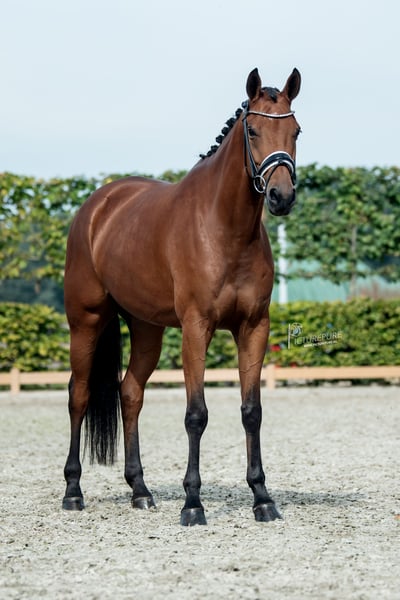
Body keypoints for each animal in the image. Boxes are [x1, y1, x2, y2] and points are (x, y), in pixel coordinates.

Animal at [62, 67, 301, 526]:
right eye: (254, 130)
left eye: (296, 130)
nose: (281, 197)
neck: (225, 228)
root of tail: (97, 207)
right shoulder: (196, 328)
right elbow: (196, 415)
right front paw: (193, 504)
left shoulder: (254, 328)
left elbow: (252, 412)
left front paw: (262, 498)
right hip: (85, 321)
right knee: (78, 395)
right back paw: (72, 491)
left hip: (147, 329)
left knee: (130, 393)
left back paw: (140, 490)